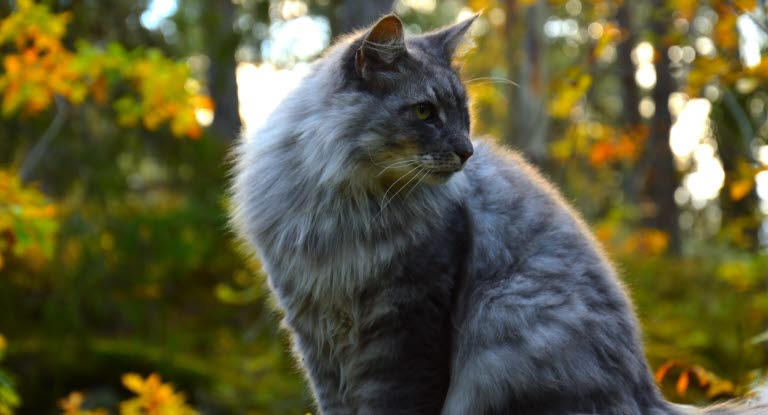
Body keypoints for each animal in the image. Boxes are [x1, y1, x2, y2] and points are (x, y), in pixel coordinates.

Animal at [230, 13, 768, 415]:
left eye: (463, 113)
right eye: (424, 112)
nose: (466, 152)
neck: (348, 205)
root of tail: (649, 398)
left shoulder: (406, 316)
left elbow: (394, 400)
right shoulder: (312, 323)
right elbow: (334, 401)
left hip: (507, 319)